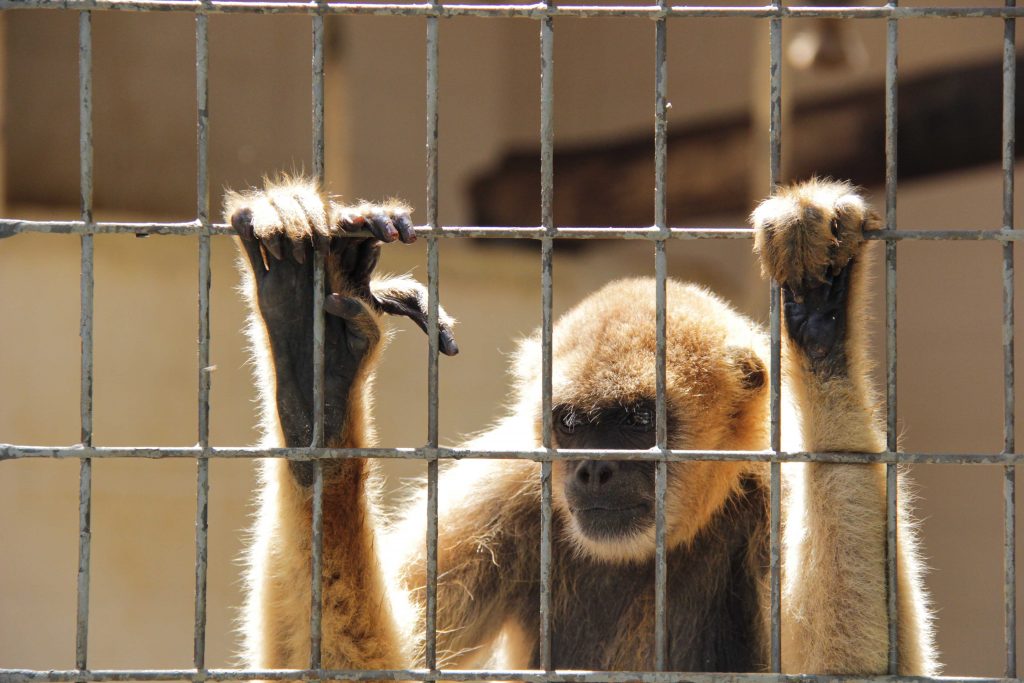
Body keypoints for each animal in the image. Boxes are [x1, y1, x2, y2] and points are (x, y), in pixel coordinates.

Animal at [228, 174, 937, 675]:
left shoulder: (772, 488)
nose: (595, 468)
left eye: (638, 421)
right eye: (570, 423)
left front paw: (823, 321)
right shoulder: (513, 485)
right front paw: (317, 375)